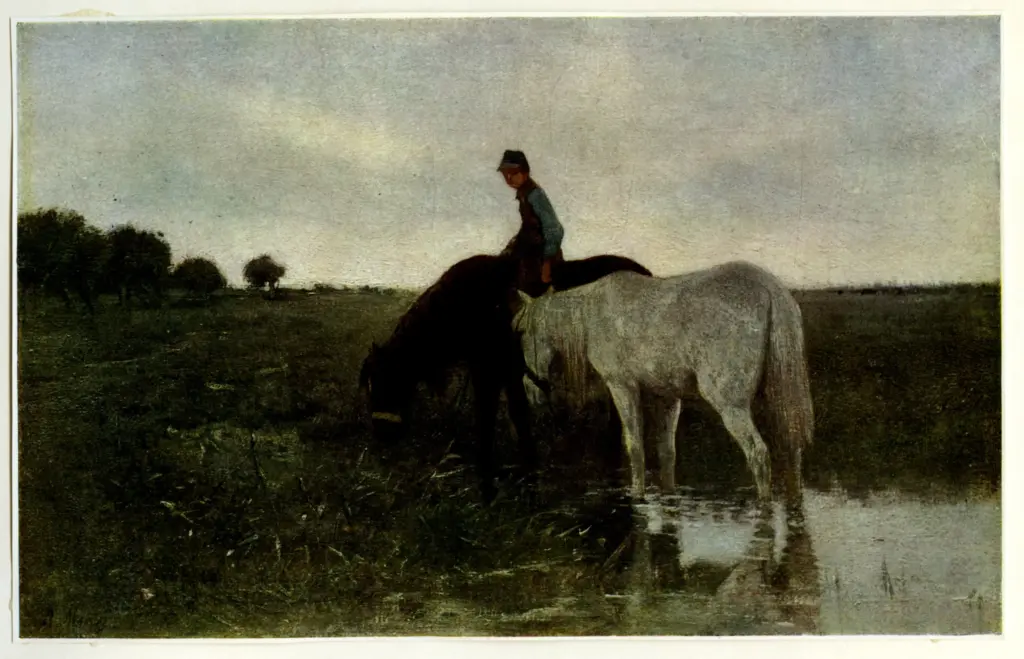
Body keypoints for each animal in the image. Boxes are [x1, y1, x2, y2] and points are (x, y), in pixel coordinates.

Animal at [359, 251, 653, 502]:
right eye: (370, 385)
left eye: (390, 380)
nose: (383, 433)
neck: (467, 305)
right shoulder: (497, 374)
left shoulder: (496, 373)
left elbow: (498, 417)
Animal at [511, 260, 814, 503]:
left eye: (522, 330)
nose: (530, 387)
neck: (590, 315)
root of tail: (769, 288)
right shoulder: (667, 396)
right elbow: (667, 451)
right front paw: (668, 494)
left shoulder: (622, 387)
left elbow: (634, 446)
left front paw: (637, 495)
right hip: (779, 399)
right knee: (792, 448)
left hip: (731, 405)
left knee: (759, 454)